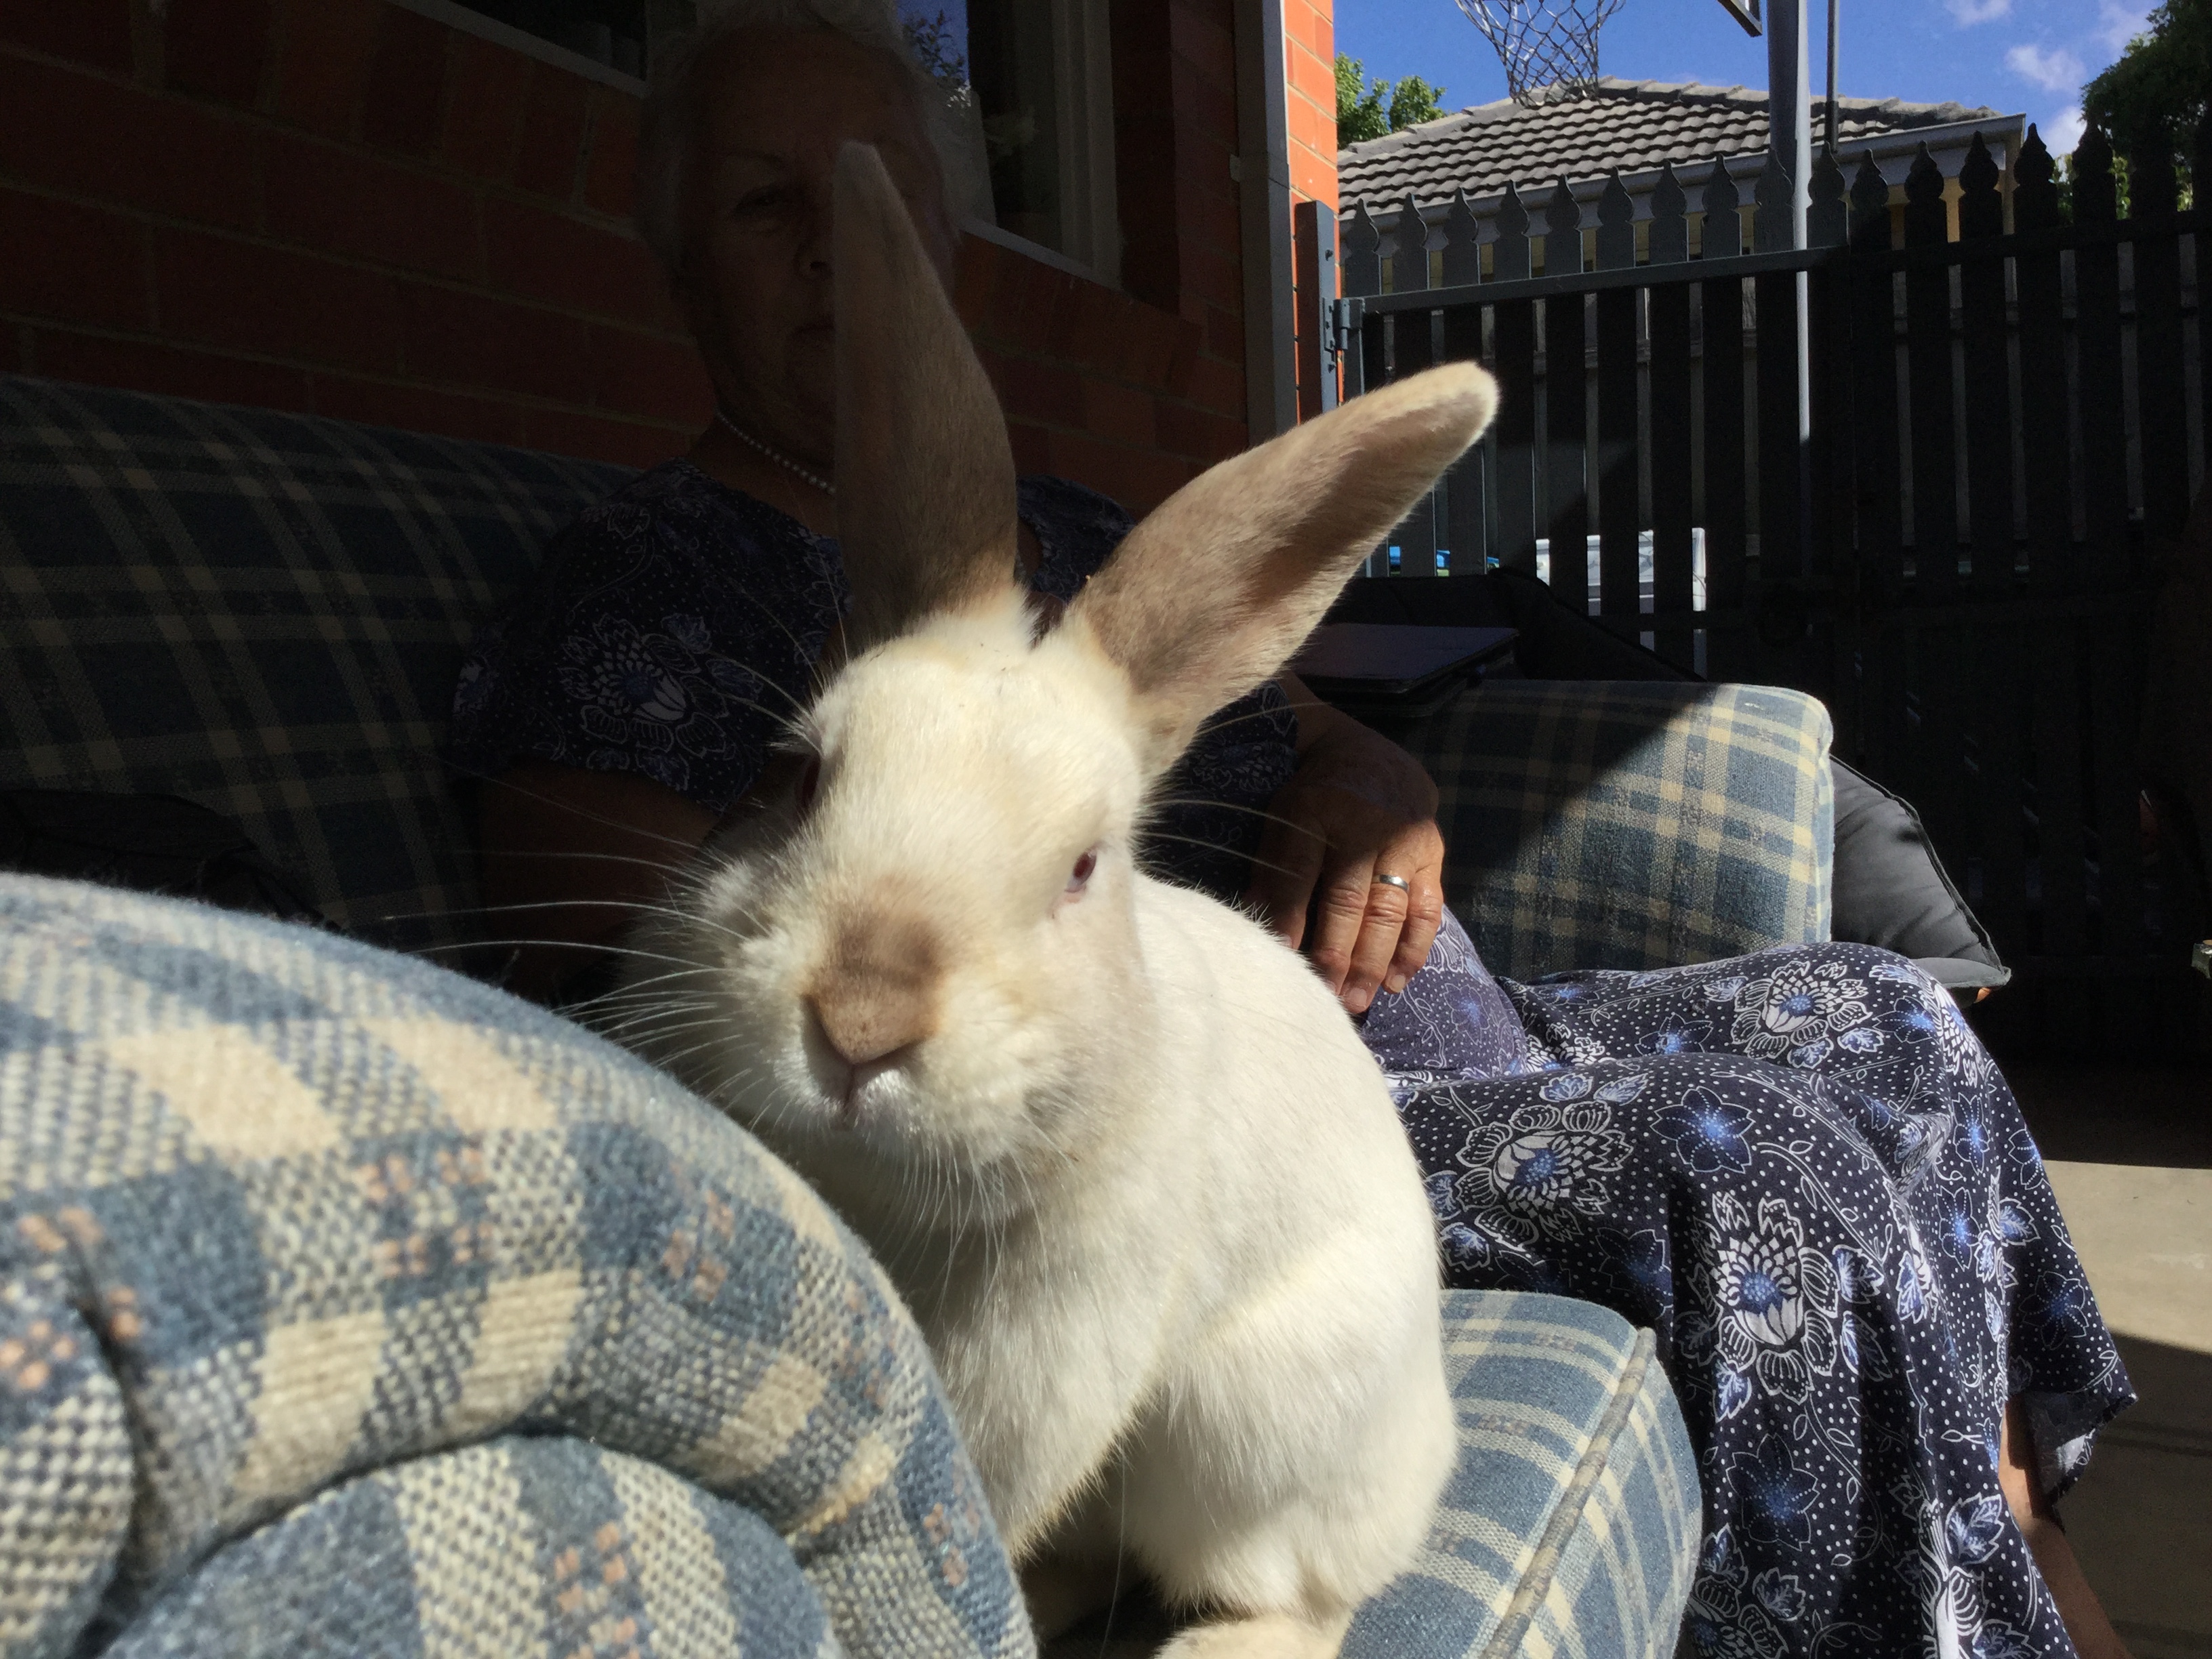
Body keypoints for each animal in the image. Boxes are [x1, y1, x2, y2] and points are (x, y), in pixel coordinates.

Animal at [620, 140, 1499, 1659]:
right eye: (794, 774)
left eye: (1085, 867)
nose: (859, 1022)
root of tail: (1433, 1450)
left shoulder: (1052, 1340)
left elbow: (979, 1492)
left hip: (1244, 1435)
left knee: (1299, 1590)